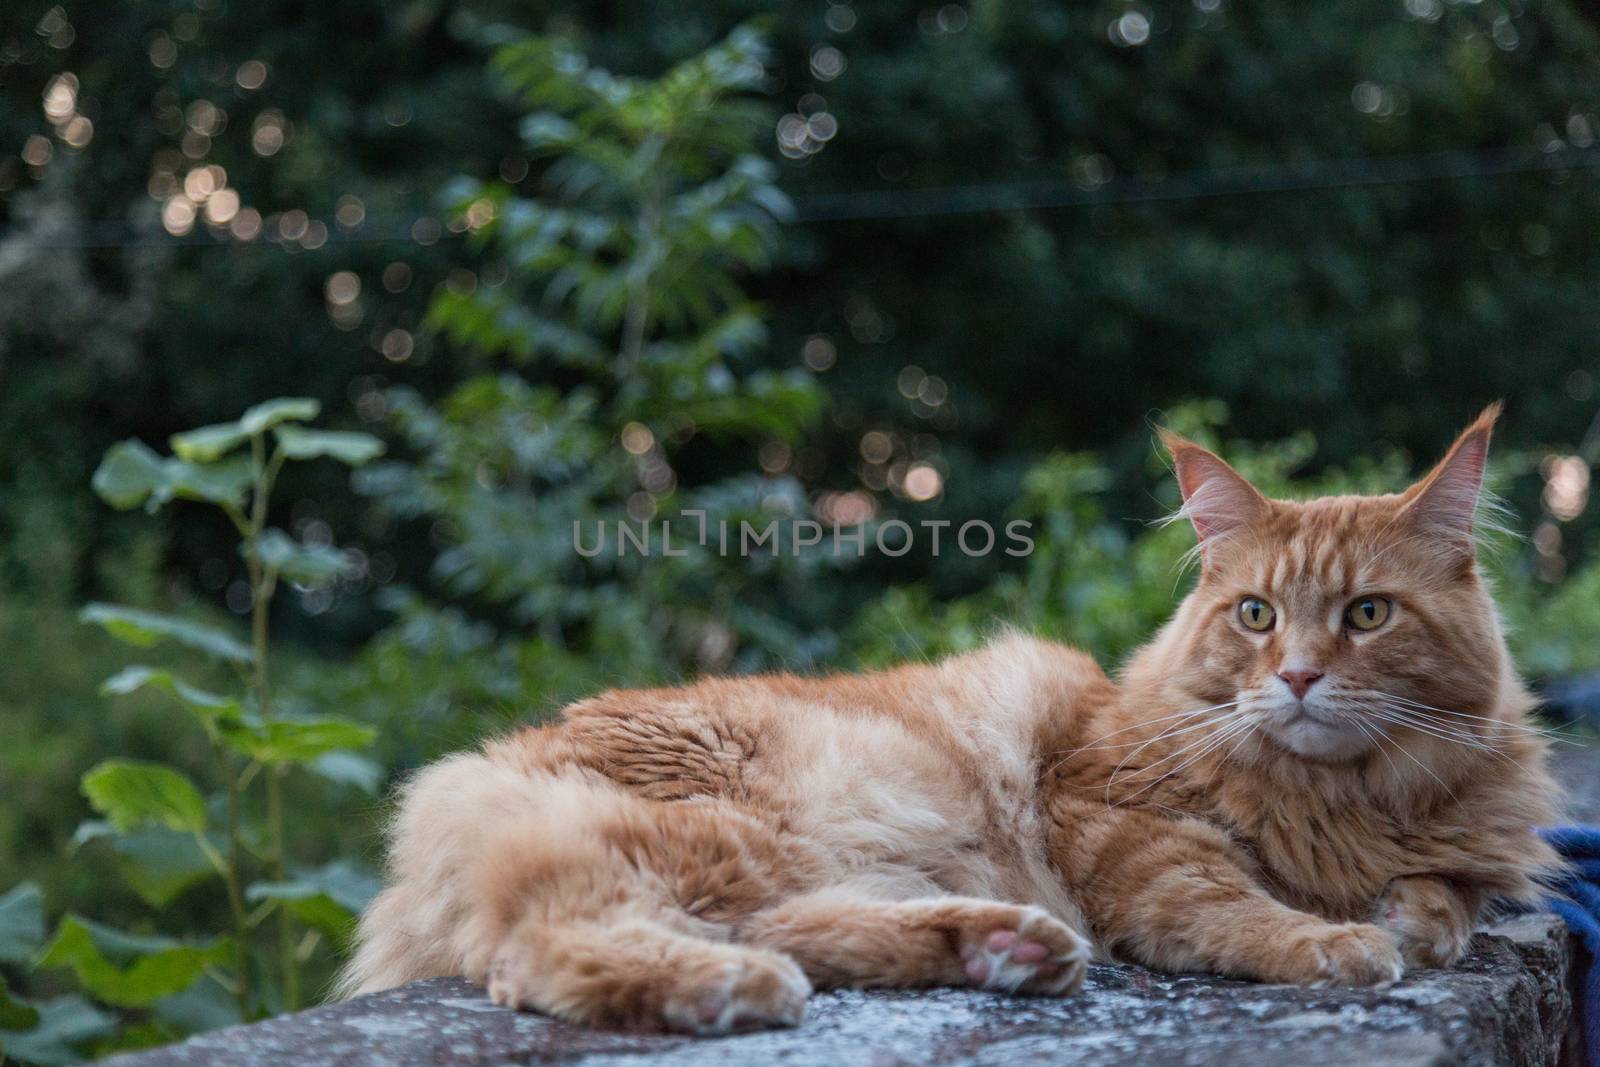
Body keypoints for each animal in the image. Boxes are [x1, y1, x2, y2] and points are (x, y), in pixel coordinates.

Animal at [344, 404, 1555, 1030]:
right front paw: (1341, 938)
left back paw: (994, 948)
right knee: (547, 945)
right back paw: (730, 991)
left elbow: (1452, 892)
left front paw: (1415, 915)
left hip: (770, 859)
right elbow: (1234, 907)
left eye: (1366, 614)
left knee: (783, 924)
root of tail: (482, 766)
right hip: (715, 830)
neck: (1338, 797)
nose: (1298, 677)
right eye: (1255, 614)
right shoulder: (1119, 825)